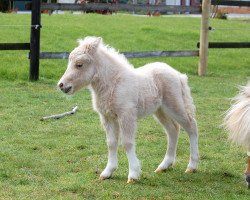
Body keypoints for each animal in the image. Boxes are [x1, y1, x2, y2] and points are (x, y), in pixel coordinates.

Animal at [57, 36, 199, 183]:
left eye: (79, 64)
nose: (61, 85)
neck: (113, 84)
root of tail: (178, 74)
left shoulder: (126, 115)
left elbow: (127, 143)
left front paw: (133, 174)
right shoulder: (107, 117)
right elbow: (111, 143)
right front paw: (107, 172)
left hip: (174, 105)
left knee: (191, 126)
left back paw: (191, 166)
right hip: (160, 110)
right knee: (173, 130)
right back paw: (164, 165)